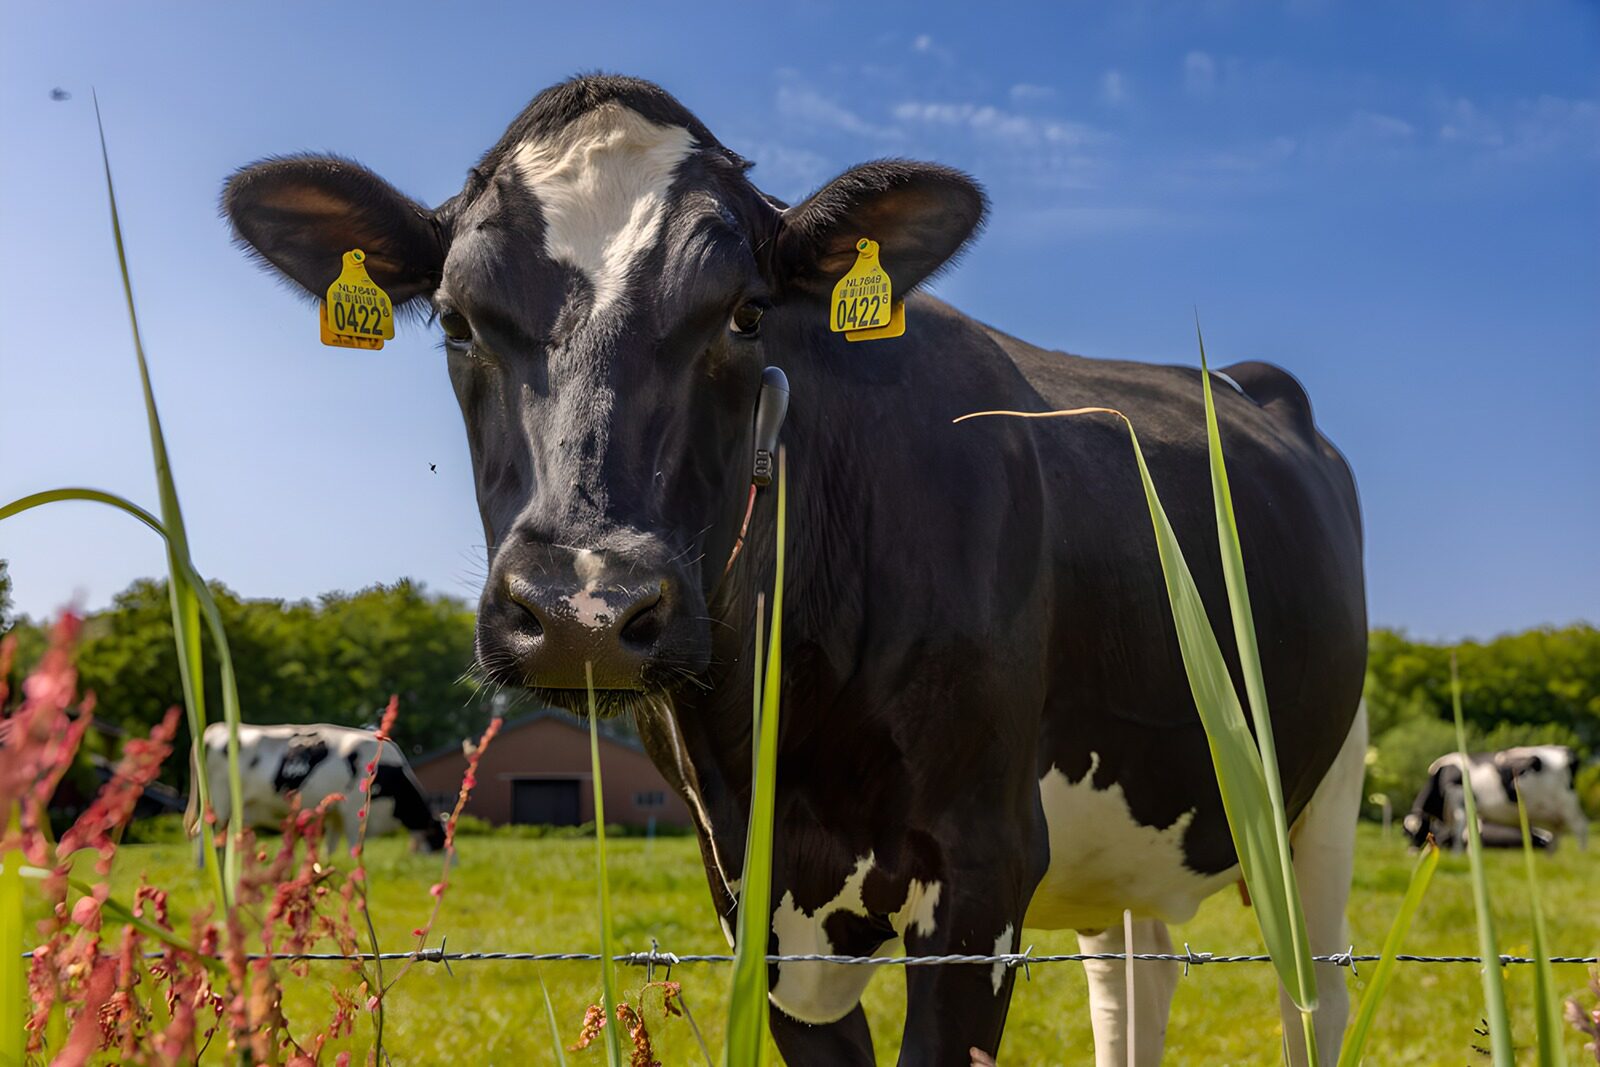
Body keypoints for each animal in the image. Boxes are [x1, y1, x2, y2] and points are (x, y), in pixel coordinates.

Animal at [184, 722, 446, 859]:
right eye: (440, 839)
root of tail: (213, 729)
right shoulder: (355, 811)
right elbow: (355, 847)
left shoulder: (334, 814)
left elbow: (329, 848)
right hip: (220, 801)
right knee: (205, 832)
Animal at [221, 75, 1369, 1066]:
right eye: (457, 320)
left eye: (744, 313)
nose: (584, 608)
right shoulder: (745, 882)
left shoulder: (986, 861)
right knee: (1135, 982)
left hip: (1319, 790)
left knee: (1313, 992)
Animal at [1404, 746, 1588, 851]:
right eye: (1405, 832)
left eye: (1421, 830)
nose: (1411, 851)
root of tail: (1565, 751)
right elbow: (1469, 831)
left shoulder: (1459, 798)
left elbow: (1459, 829)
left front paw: (1458, 854)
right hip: (1552, 811)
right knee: (1556, 832)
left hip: (1568, 801)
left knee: (1580, 826)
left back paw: (1581, 854)